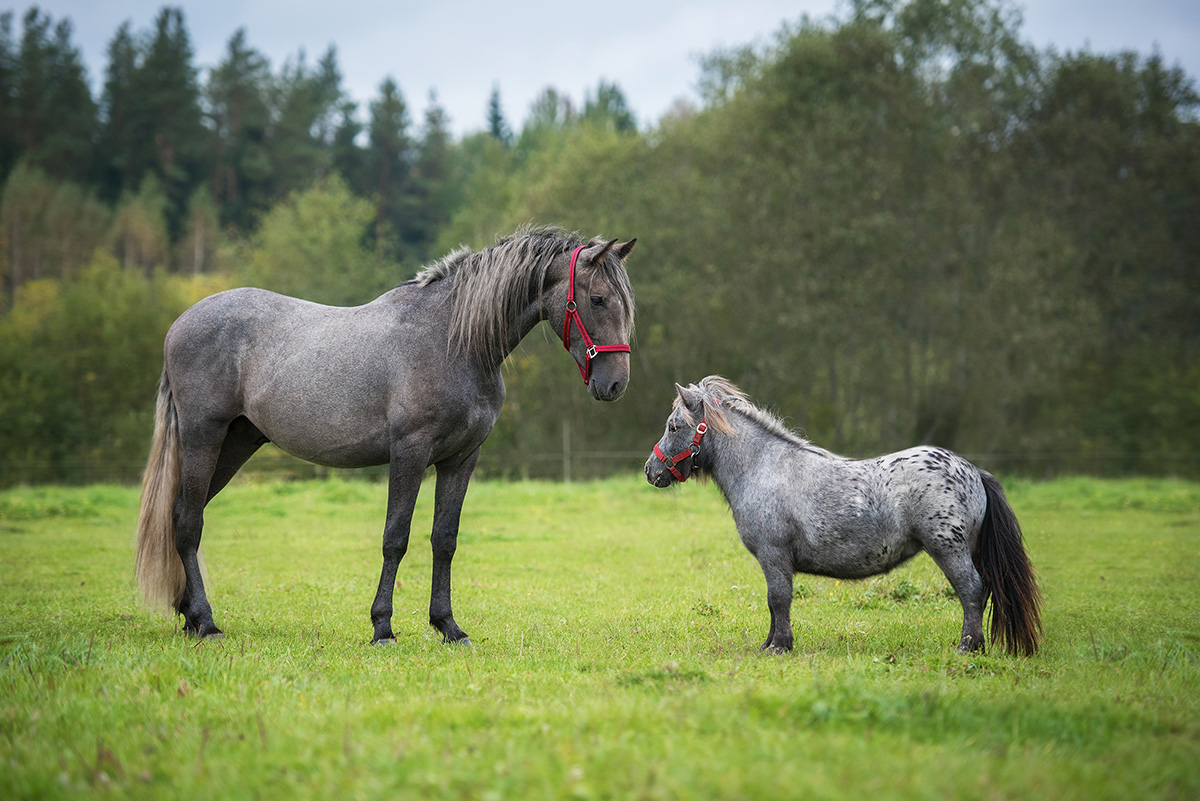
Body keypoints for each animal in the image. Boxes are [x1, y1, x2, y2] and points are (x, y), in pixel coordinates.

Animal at [139, 226, 638, 642]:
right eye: (597, 299)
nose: (615, 384)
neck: (453, 340)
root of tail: (179, 324)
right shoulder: (410, 453)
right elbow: (396, 537)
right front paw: (382, 627)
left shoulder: (462, 459)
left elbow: (444, 539)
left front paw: (448, 626)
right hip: (204, 438)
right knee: (188, 521)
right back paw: (206, 622)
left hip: (235, 443)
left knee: (184, 515)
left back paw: (189, 615)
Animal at [648, 376, 1041, 657]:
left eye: (673, 426)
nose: (651, 470)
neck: (763, 467)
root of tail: (973, 471)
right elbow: (775, 604)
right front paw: (769, 643)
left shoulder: (774, 556)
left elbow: (778, 599)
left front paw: (779, 647)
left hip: (949, 550)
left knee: (972, 590)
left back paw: (966, 647)